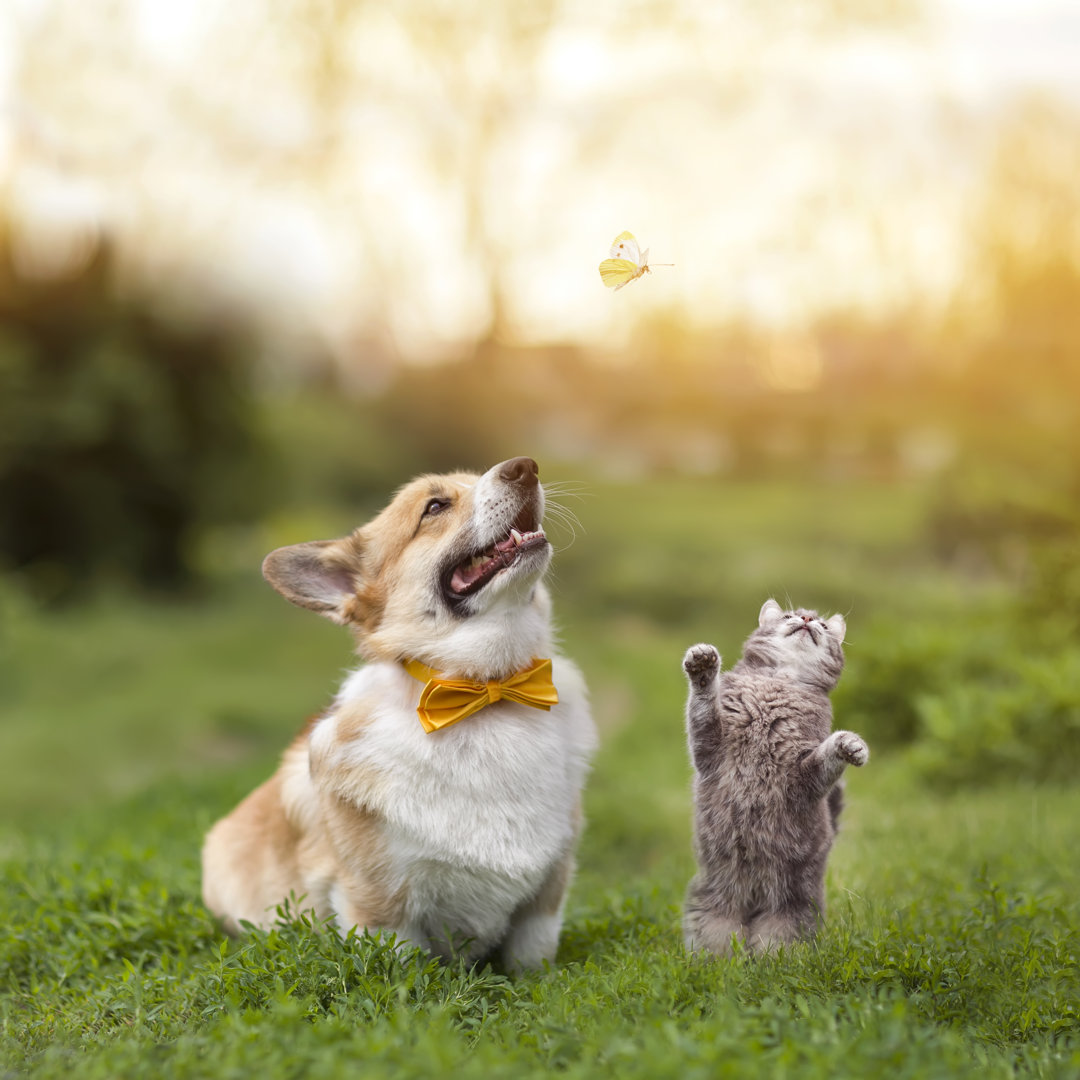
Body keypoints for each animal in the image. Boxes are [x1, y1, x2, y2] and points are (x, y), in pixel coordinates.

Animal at [203, 455, 600, 972]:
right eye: (434, 507)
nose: (525, 466)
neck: (484, 690)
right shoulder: (380, 906)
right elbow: (405, 970)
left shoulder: (546, 897)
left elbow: (532, 960)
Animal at [682, 600, 868, 954]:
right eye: (789, 615)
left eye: (823, 624)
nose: (807, 618)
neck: (780, 683)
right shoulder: (709, 747)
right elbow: (703, 705)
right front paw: (702, 666)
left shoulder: (803, 776)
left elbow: (826, 757)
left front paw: (850, 746)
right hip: (714, 915)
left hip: (786, 918)